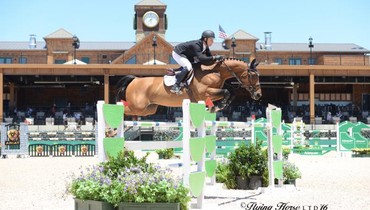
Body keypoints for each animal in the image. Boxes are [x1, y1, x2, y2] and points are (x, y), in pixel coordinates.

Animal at [115, 58, 260, 115]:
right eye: (253, 76)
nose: (258, 95)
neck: (215, 71)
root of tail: (134, 80)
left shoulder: (209, 95)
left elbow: (230, 93)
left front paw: (220, 106)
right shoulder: (204, 93)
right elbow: (226, 92)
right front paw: (218, 107)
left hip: (149, 109)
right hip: (138, 107)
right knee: (123, 108)